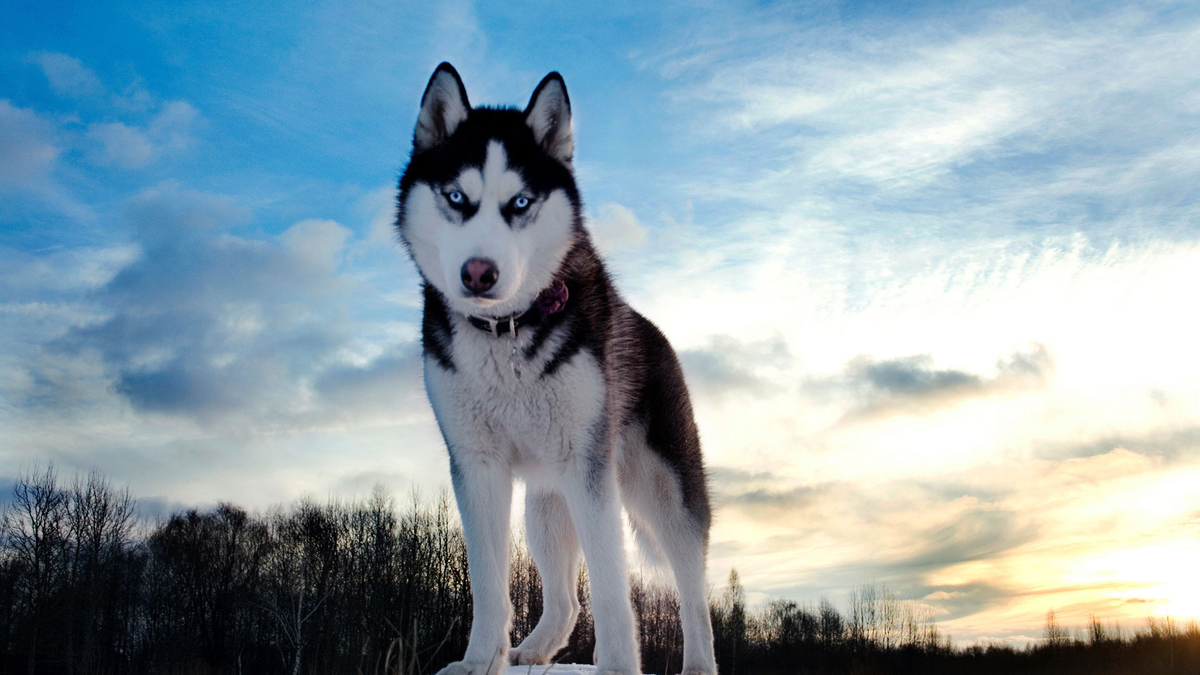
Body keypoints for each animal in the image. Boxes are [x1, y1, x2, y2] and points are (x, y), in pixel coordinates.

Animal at [396, 63, 710, 672]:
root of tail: (654, 330)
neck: (507, 332)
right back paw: (536, 648)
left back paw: (700, 662)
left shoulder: (589, 470)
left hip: (663, 492)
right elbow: (488, 584)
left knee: (693, 594)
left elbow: (613, 590)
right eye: (456, 197)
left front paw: (618, 666)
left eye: (520, 203)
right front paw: (479, 661)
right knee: (566, 600)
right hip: (544, 505)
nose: (478, 273)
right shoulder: (477, 467)